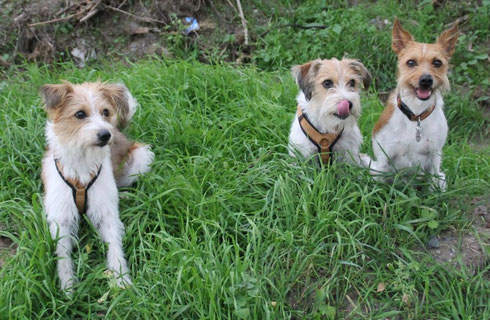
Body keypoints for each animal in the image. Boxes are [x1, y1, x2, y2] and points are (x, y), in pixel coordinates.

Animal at [41, 80, 154, 292]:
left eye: (105, 112)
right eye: (80, 114)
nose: (105, 135)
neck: (82, 165)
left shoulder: (106, 211)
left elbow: (115, 245)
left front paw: (121, 279)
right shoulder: (61, 216)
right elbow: (62, 254)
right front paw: (67, 285)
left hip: (141, 158)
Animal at [372, 18, 460, 190]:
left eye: (437, 63)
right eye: (411, 62)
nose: (426, 80)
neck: (416, 114)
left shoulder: (434, 157)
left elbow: (432, 187)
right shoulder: (384, 159)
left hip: (441, 177)